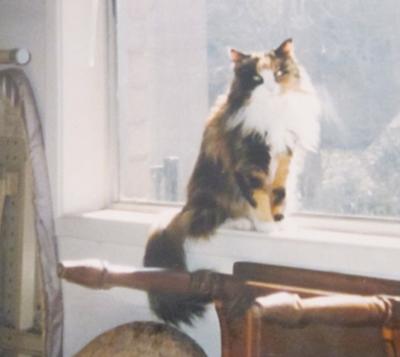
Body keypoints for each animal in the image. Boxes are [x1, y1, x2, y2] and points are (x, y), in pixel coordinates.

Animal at [142, 39, 320, 326]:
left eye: (279, 73)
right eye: (258, 79)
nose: (271, 87)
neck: (272, 114)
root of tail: (185, 210)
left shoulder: (283, 161)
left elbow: (278, 197)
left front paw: (280, 224)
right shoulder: (250, 164)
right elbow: (259, 199)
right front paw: (267, 228)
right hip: (215, 197)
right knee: (212, 221)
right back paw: (243, 223)